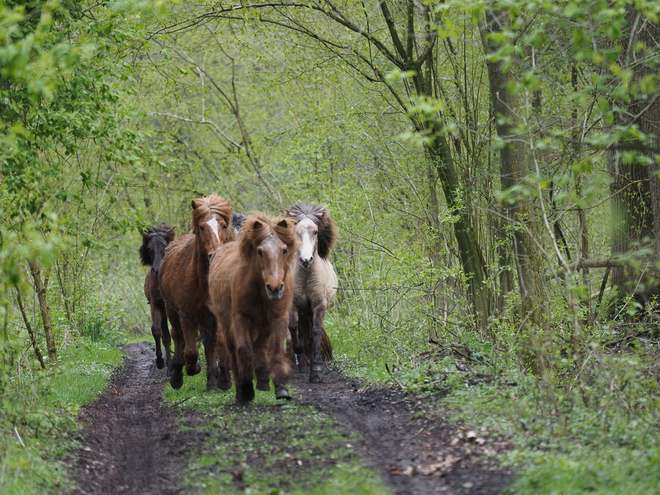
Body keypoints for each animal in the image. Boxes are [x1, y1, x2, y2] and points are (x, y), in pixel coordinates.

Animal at [159, 194, 233, 392]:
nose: (215, 255)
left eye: (224, 225)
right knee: (177, 337)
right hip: (171, 310)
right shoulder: (186, 316)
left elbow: (214, 344)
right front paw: (193, 368)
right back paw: (177, 375)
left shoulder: (215, 316)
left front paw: (218, 380)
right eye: (202, 227)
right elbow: (191, 351)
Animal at [208, 213, 298, 404]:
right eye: (260, 251)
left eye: (284, 250)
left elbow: (276, 350)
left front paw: (281, 388)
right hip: (226, 324)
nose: (275, 288)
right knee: (233, 351)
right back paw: (240, 391)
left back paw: (263, 379)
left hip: (263, 325)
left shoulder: (279, 317)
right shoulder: (240, 318)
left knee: (260, 347)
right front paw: (247, 388)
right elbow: (244, 350)